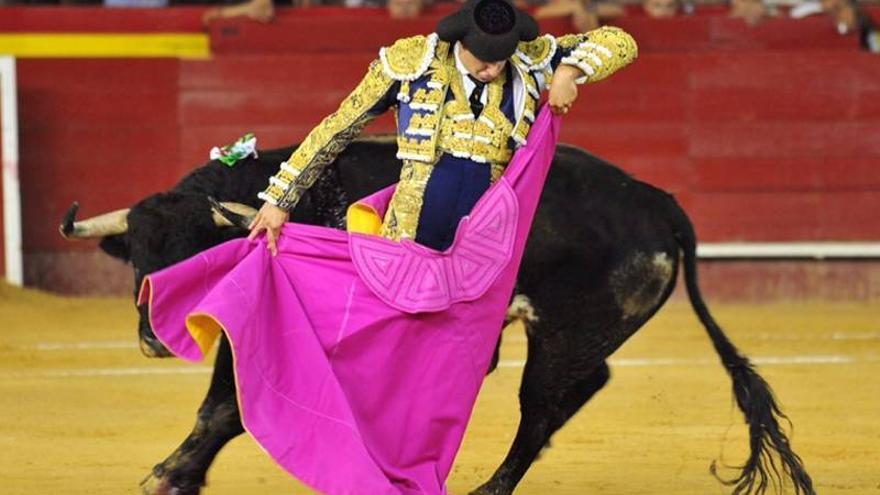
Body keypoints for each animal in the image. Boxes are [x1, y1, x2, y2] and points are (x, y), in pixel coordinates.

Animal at [60, 139, 812, 495]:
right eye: (139, 260)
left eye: (198, 255)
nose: (157, 338)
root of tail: (656, 198)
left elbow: (229, 406)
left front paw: (170, 474)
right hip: (573, 332)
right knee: (581, 387)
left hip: (565, 333)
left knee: (540, 407)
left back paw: (488, 487)